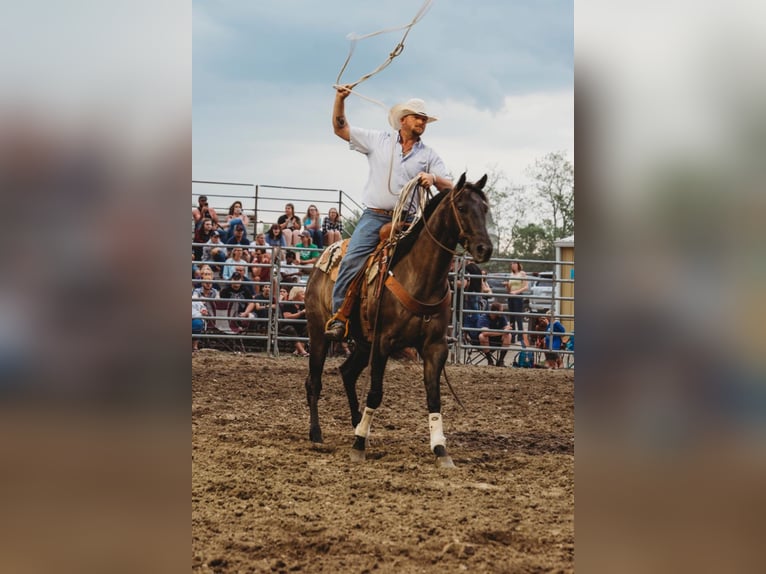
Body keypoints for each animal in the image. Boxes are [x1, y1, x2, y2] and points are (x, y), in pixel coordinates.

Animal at [304, 173, 496, 470]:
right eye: (462, 207)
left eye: (484, 208)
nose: (484, 249)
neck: (419, 277)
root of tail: (320, 261)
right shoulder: (383, 343)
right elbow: (375, 392)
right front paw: (358, 447)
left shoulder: (434, 347)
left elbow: (434, 397)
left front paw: (441, 450)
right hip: (318, 333)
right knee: (314, 380)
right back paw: (317, 433)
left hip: (362, 342)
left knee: (347, 373)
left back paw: (357, 425)